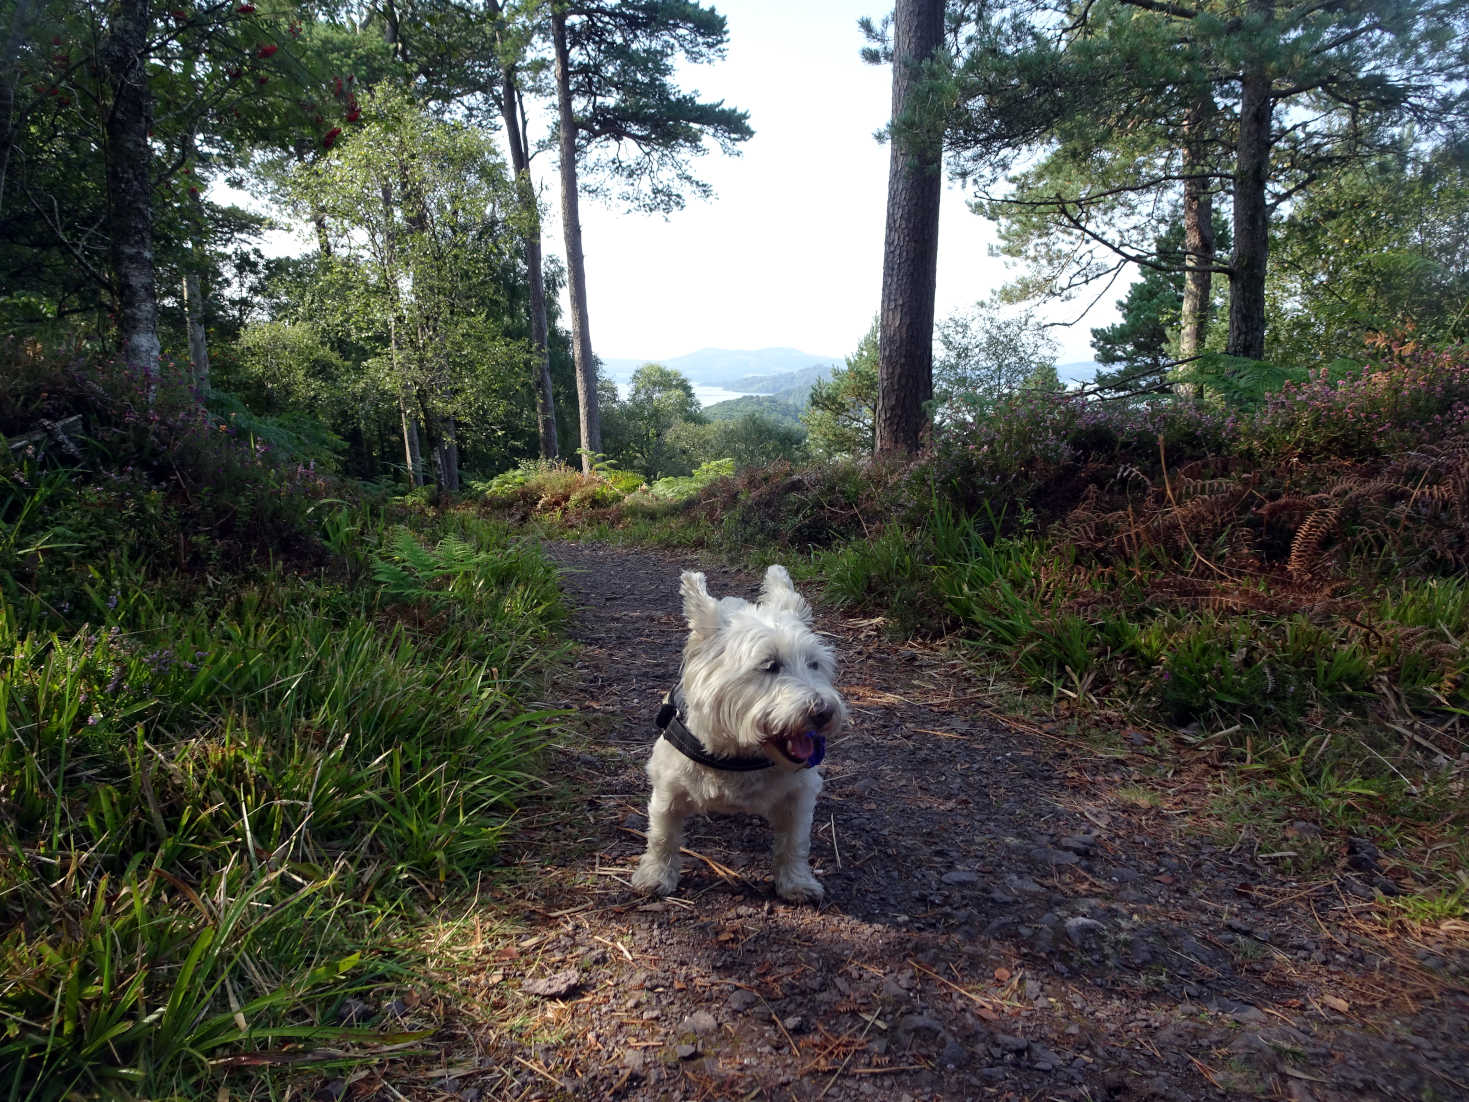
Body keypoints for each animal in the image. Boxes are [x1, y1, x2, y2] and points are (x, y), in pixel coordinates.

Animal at [625, 570, 846, 905]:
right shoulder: (668, 790)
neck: (739, 752)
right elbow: (662, 836)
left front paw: (796, 883)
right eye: (770, 665)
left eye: (814, 664)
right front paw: (655, 876)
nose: (823, 712)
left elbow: (794, 842)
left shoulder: (799, 794)